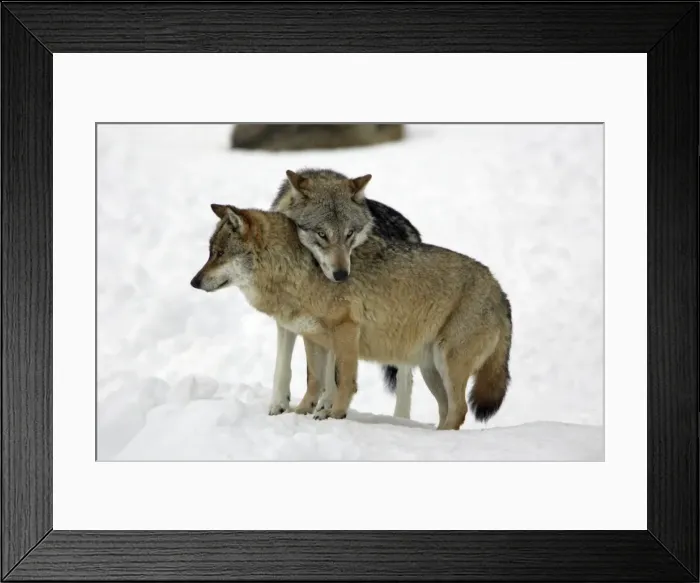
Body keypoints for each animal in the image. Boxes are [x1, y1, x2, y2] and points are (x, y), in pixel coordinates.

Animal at [190, 204, 512, 431]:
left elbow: (342, 381)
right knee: (448, 411)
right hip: (431, 370)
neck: (298, 274)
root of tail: (500, 290)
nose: (194, 281)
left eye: (219, 254)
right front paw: (301, 414)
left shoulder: (346, 331)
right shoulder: (313, 338)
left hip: (447, 365)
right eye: (210, 253)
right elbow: (314, 381)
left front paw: (335, 415)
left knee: (459, 410)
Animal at [267, 168, 421, 419]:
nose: (341, 275)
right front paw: (278, 404)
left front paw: (326, 406)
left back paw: (401, 419)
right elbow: (282, 366)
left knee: (405, 378)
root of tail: (409, 229)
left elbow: (333, 372)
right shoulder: (287, 316)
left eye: (349, 234)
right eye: (321, 234)